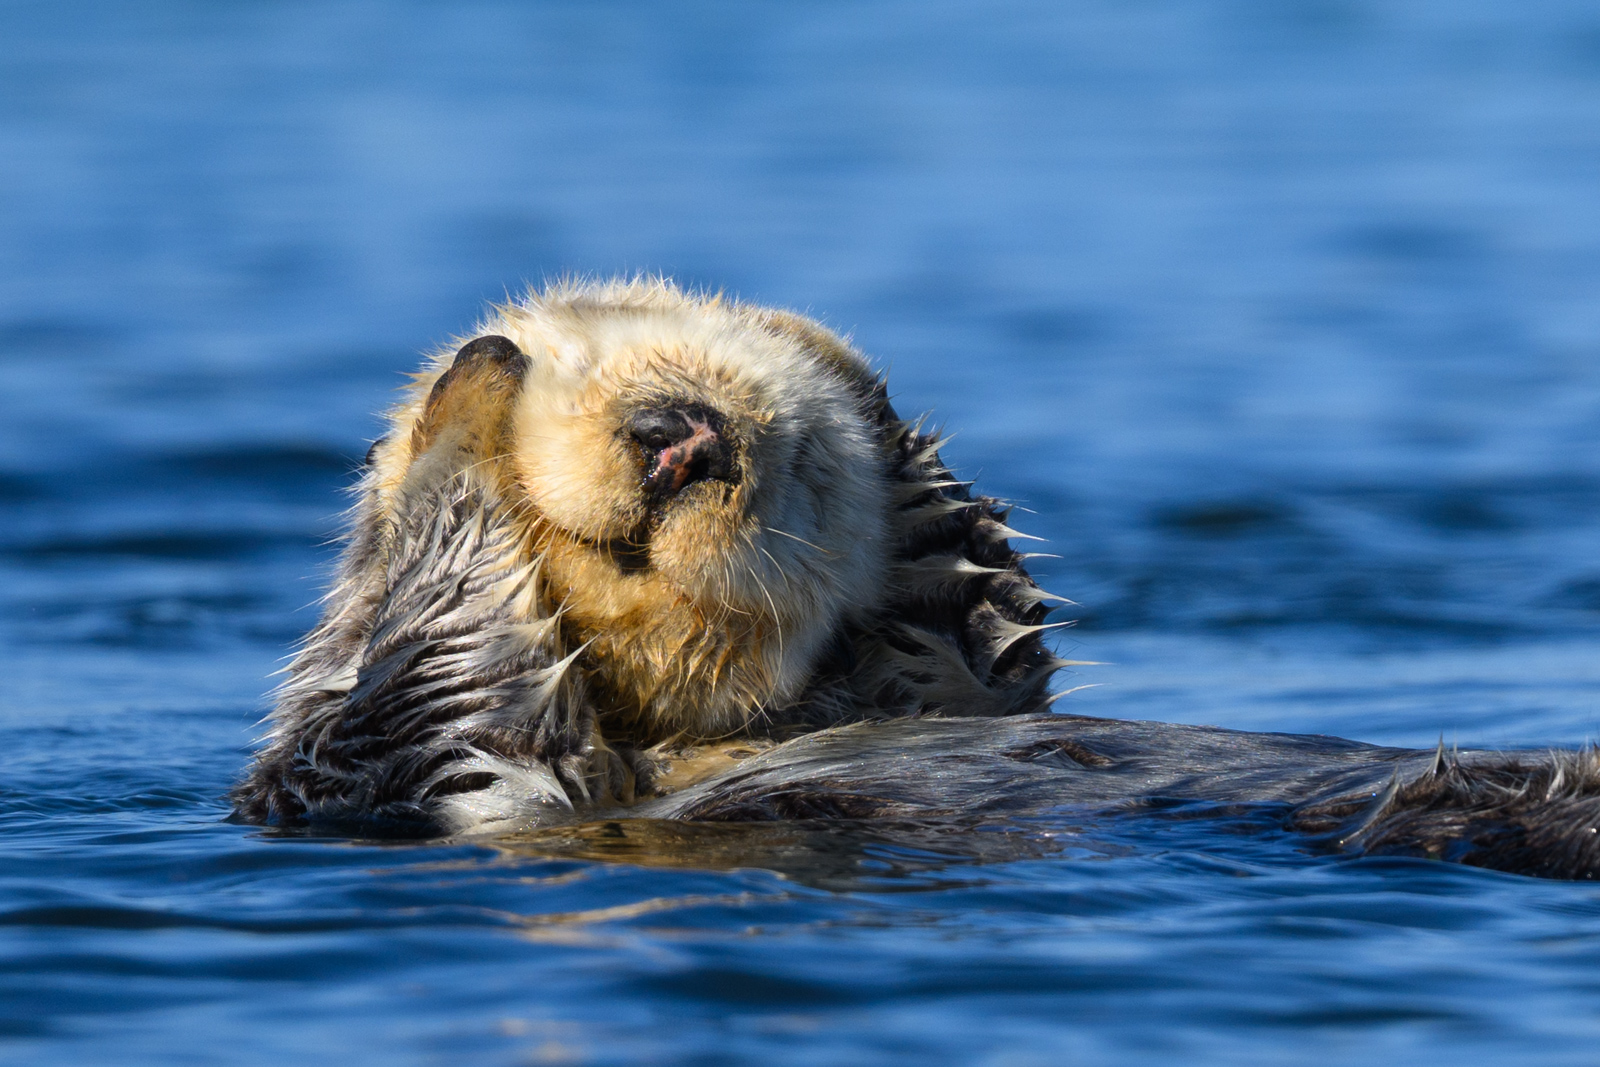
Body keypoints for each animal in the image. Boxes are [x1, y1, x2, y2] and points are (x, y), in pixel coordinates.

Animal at [234, 278, 1600, 881]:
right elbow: (439, 684)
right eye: (594, 361)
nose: (684, 436)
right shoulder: (384, 772)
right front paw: (469, 393)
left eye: (801, 456)